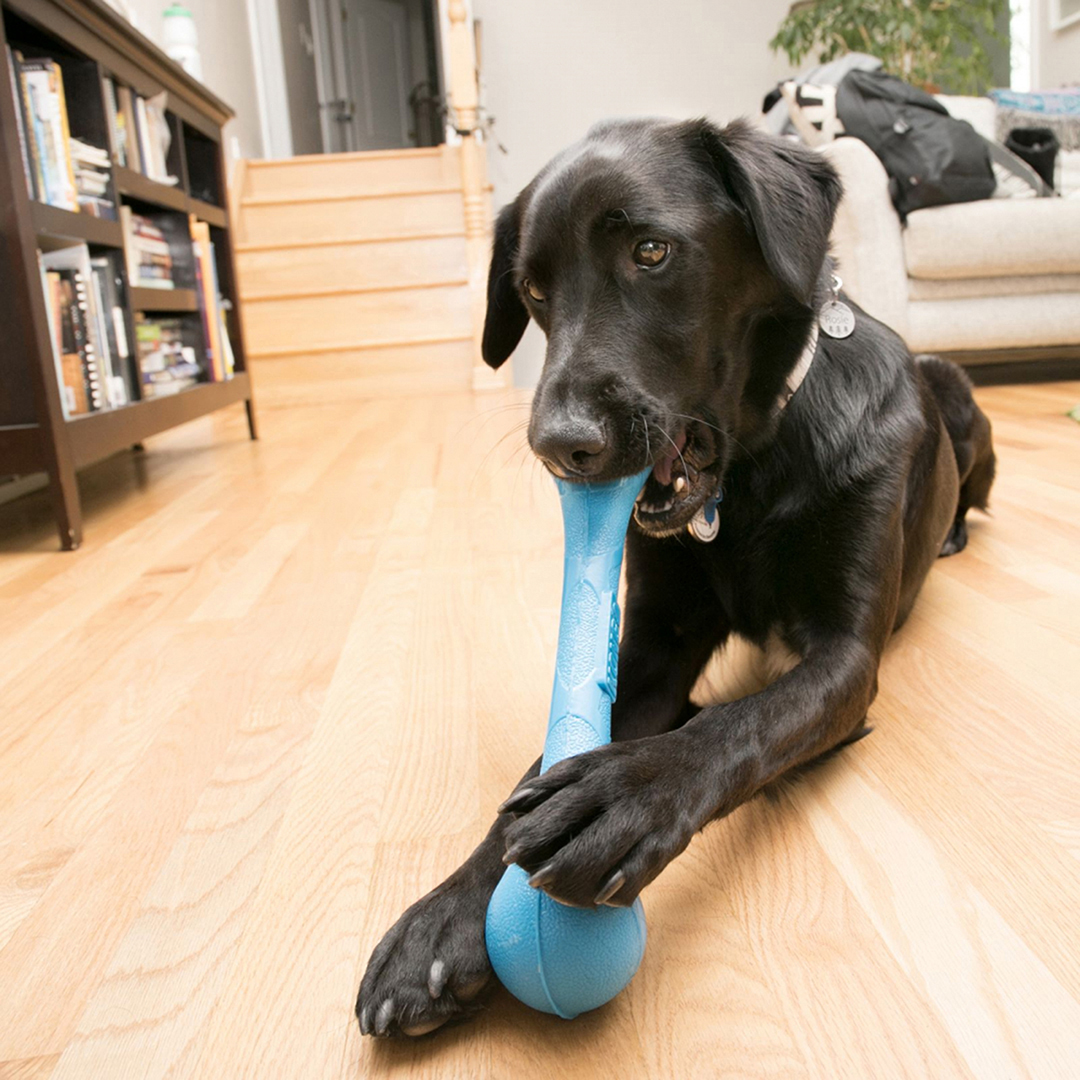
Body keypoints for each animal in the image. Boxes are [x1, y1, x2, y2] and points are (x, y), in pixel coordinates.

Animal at [356, 118, 993, 1036]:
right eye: (534, 290)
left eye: (651, 251)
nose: (558, 445)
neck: (749, 471)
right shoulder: (658, 644)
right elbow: (536, 772)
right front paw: (442, 917)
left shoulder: (846, 656)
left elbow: (739, 724)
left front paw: (624, 796)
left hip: (958, 392)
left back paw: (954, 535)